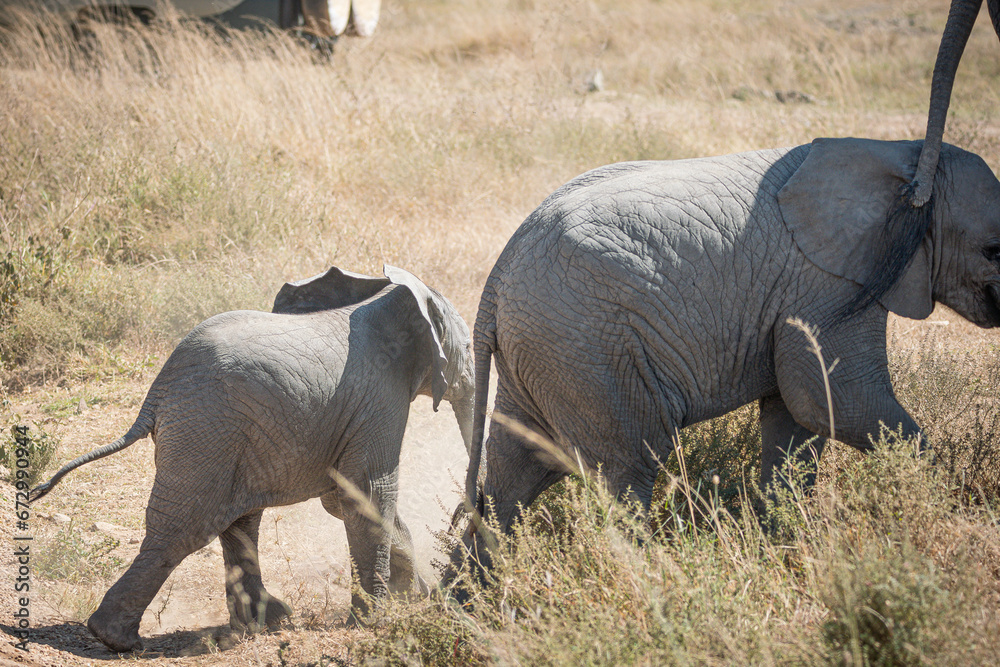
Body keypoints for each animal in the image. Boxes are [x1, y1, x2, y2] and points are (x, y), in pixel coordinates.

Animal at [31, 265, 474, 653]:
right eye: (470, 347)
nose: (462, 510)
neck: (390, 295)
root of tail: (156, 393)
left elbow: (342, 497)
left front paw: (414, 596)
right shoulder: (379, 397)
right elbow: (366, 491)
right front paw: (379, 620)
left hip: (233, 438)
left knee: (237, 518)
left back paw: (263, 622)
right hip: (207, 431)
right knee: (184, 528)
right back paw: (116, 639)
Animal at [457, 137, 1000, 569]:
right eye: (993, 250)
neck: (906, 153)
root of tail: (495, 284)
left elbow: (795, 421)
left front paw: (784, 545)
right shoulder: (831, 285)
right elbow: (829, 399)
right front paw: (953, 503)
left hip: (546, 353)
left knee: (512, 480)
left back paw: (474, 604)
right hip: (587, 346)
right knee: (627, 472)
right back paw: (654, 580)